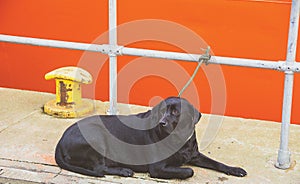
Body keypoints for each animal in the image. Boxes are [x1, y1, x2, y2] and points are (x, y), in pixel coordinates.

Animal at [54, 97, 246, 179]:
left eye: (175, 112)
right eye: (162, 111)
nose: (162, 122)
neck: (178, 139)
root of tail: (61, 140)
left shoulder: (195, 154)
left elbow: (217, 163)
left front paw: (235, 169)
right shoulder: (157, 167)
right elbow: (188, 171)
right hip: (97, 137)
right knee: (99, 168)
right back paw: (123, 170)